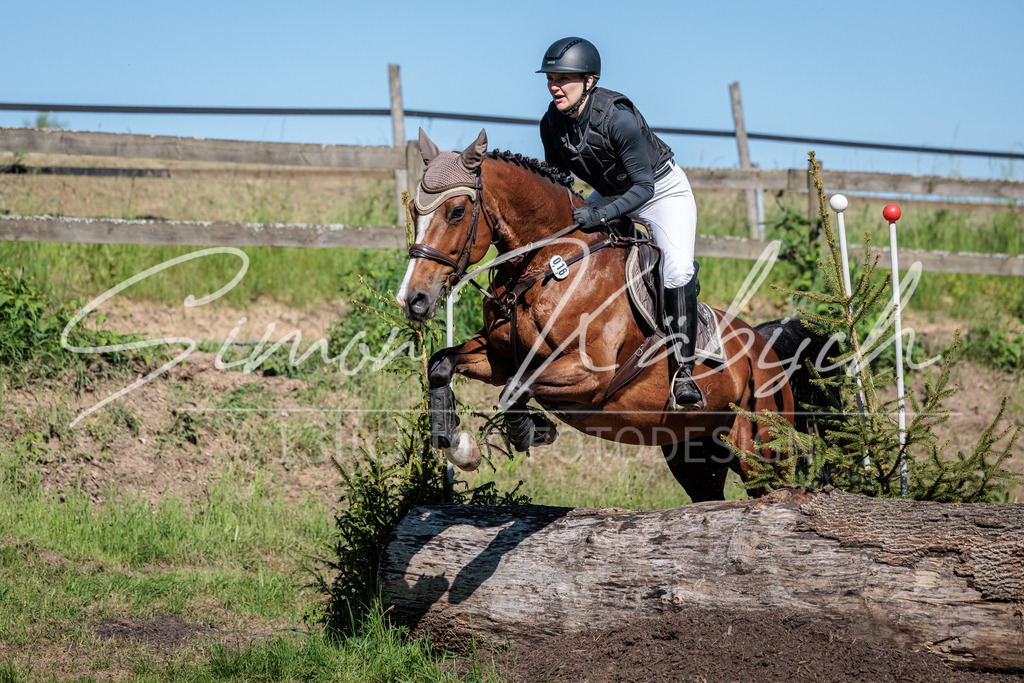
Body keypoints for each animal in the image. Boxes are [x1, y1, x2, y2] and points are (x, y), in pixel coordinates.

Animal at [397, 128, 808, 502]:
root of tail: (766, 349)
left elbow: (515, 389)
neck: (548, 266)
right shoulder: (500, 358)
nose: (413, 299)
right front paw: (457, 443)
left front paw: (532, 431)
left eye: (457, 212)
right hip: (693, 454)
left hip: (760, 453)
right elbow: (443, 366)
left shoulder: (589, 374)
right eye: (415, 211)